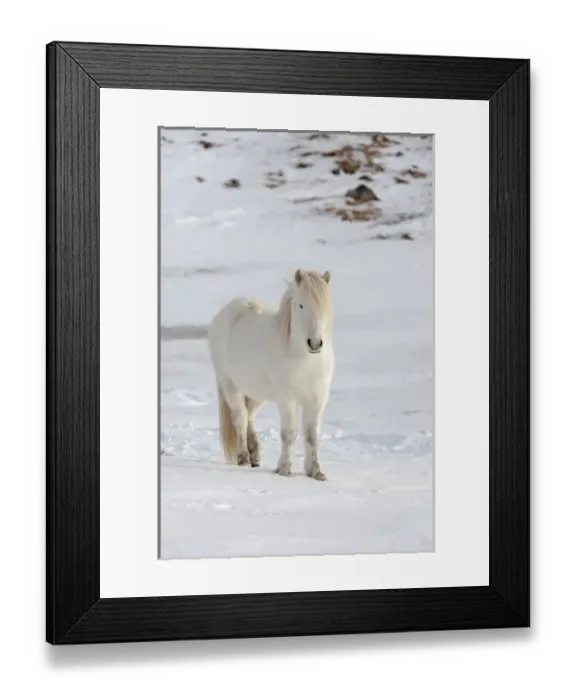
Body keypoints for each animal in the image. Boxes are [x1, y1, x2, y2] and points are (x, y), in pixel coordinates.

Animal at [207, 269, 334, 480]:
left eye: (324, 305)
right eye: (300, 305)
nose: (315, 343)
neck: (305, 360)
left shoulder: (317, 398)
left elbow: (312, 434)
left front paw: (316, 472)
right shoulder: (287, 399)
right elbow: (289, 433)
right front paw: (286, 469)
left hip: (257, 393)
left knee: (249, 415)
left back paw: (255, 455)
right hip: (230, 385)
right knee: (240, 419)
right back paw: (243, 457)